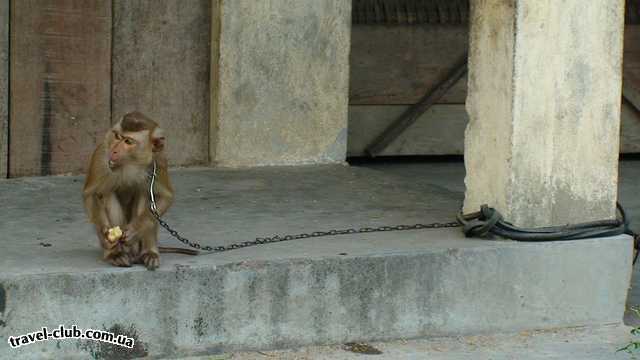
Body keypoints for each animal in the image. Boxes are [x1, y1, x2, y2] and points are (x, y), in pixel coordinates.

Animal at [83, 111, 198, 268]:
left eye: (128, 141)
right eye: (117, 136)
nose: (114, 150)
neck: (130, 163)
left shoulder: (159, 160)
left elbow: (165, 196)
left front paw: (136, 229)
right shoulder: (101, 155)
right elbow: (91, 194)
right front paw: (105, 234)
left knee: (146, 193)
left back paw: (149, 253)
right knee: (106, 193)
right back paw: (116, 254)